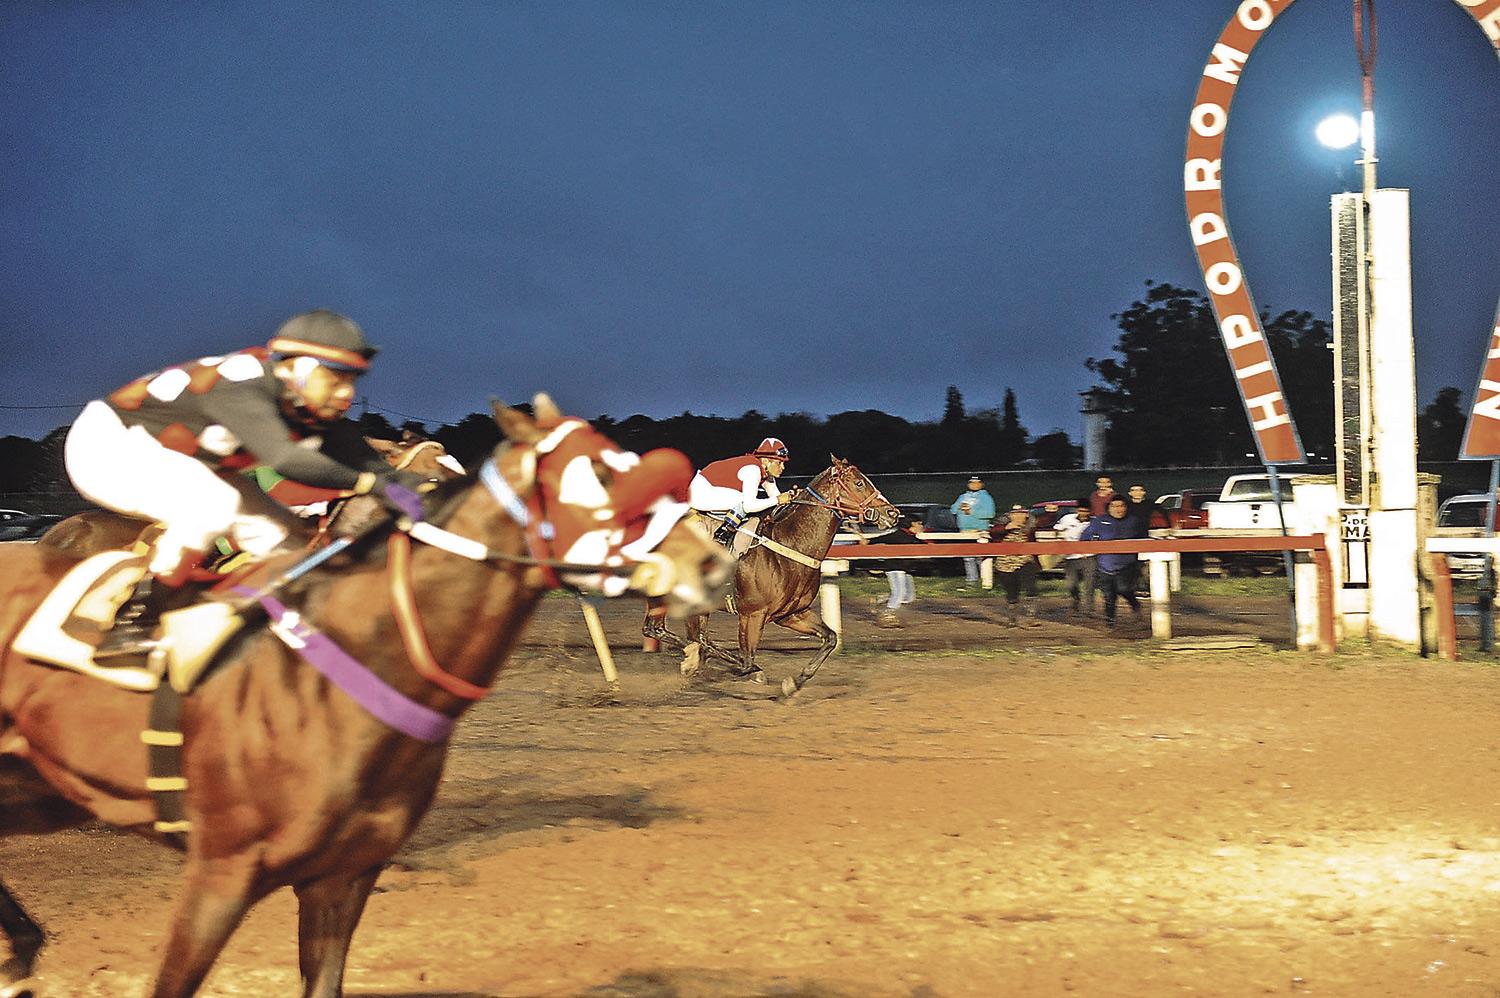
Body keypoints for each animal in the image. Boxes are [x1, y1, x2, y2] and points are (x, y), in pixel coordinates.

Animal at [642, 456, 888, 696]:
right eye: (859, 483)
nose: (892, 513)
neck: (789, 544)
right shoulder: (752, 614)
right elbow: (746, 663)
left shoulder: (792, 613)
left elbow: (830, 638)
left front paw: (794, 683)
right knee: (658, 630)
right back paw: (694, 658)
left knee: (683, 634)